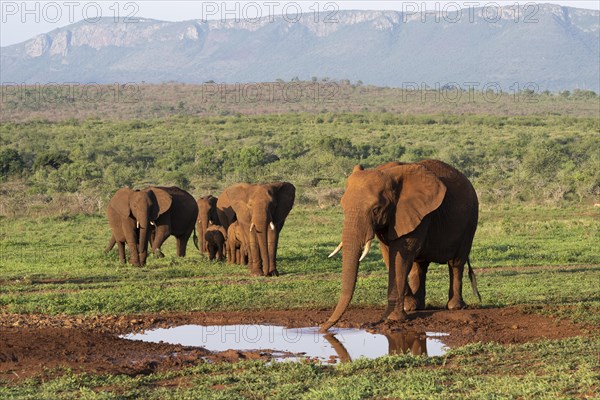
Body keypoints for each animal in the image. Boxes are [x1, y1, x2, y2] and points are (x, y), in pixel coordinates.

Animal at [322, 159, 480, 332]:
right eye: (342, 207)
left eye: (376, 209)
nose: (322, 328)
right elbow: (390, 255)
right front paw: (407, 308)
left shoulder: (414, 213)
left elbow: (400, 255)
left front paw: (393, 318)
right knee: (420, 265)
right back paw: (417, 306)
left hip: (470, 220)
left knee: (456, 262)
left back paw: (454, 306)